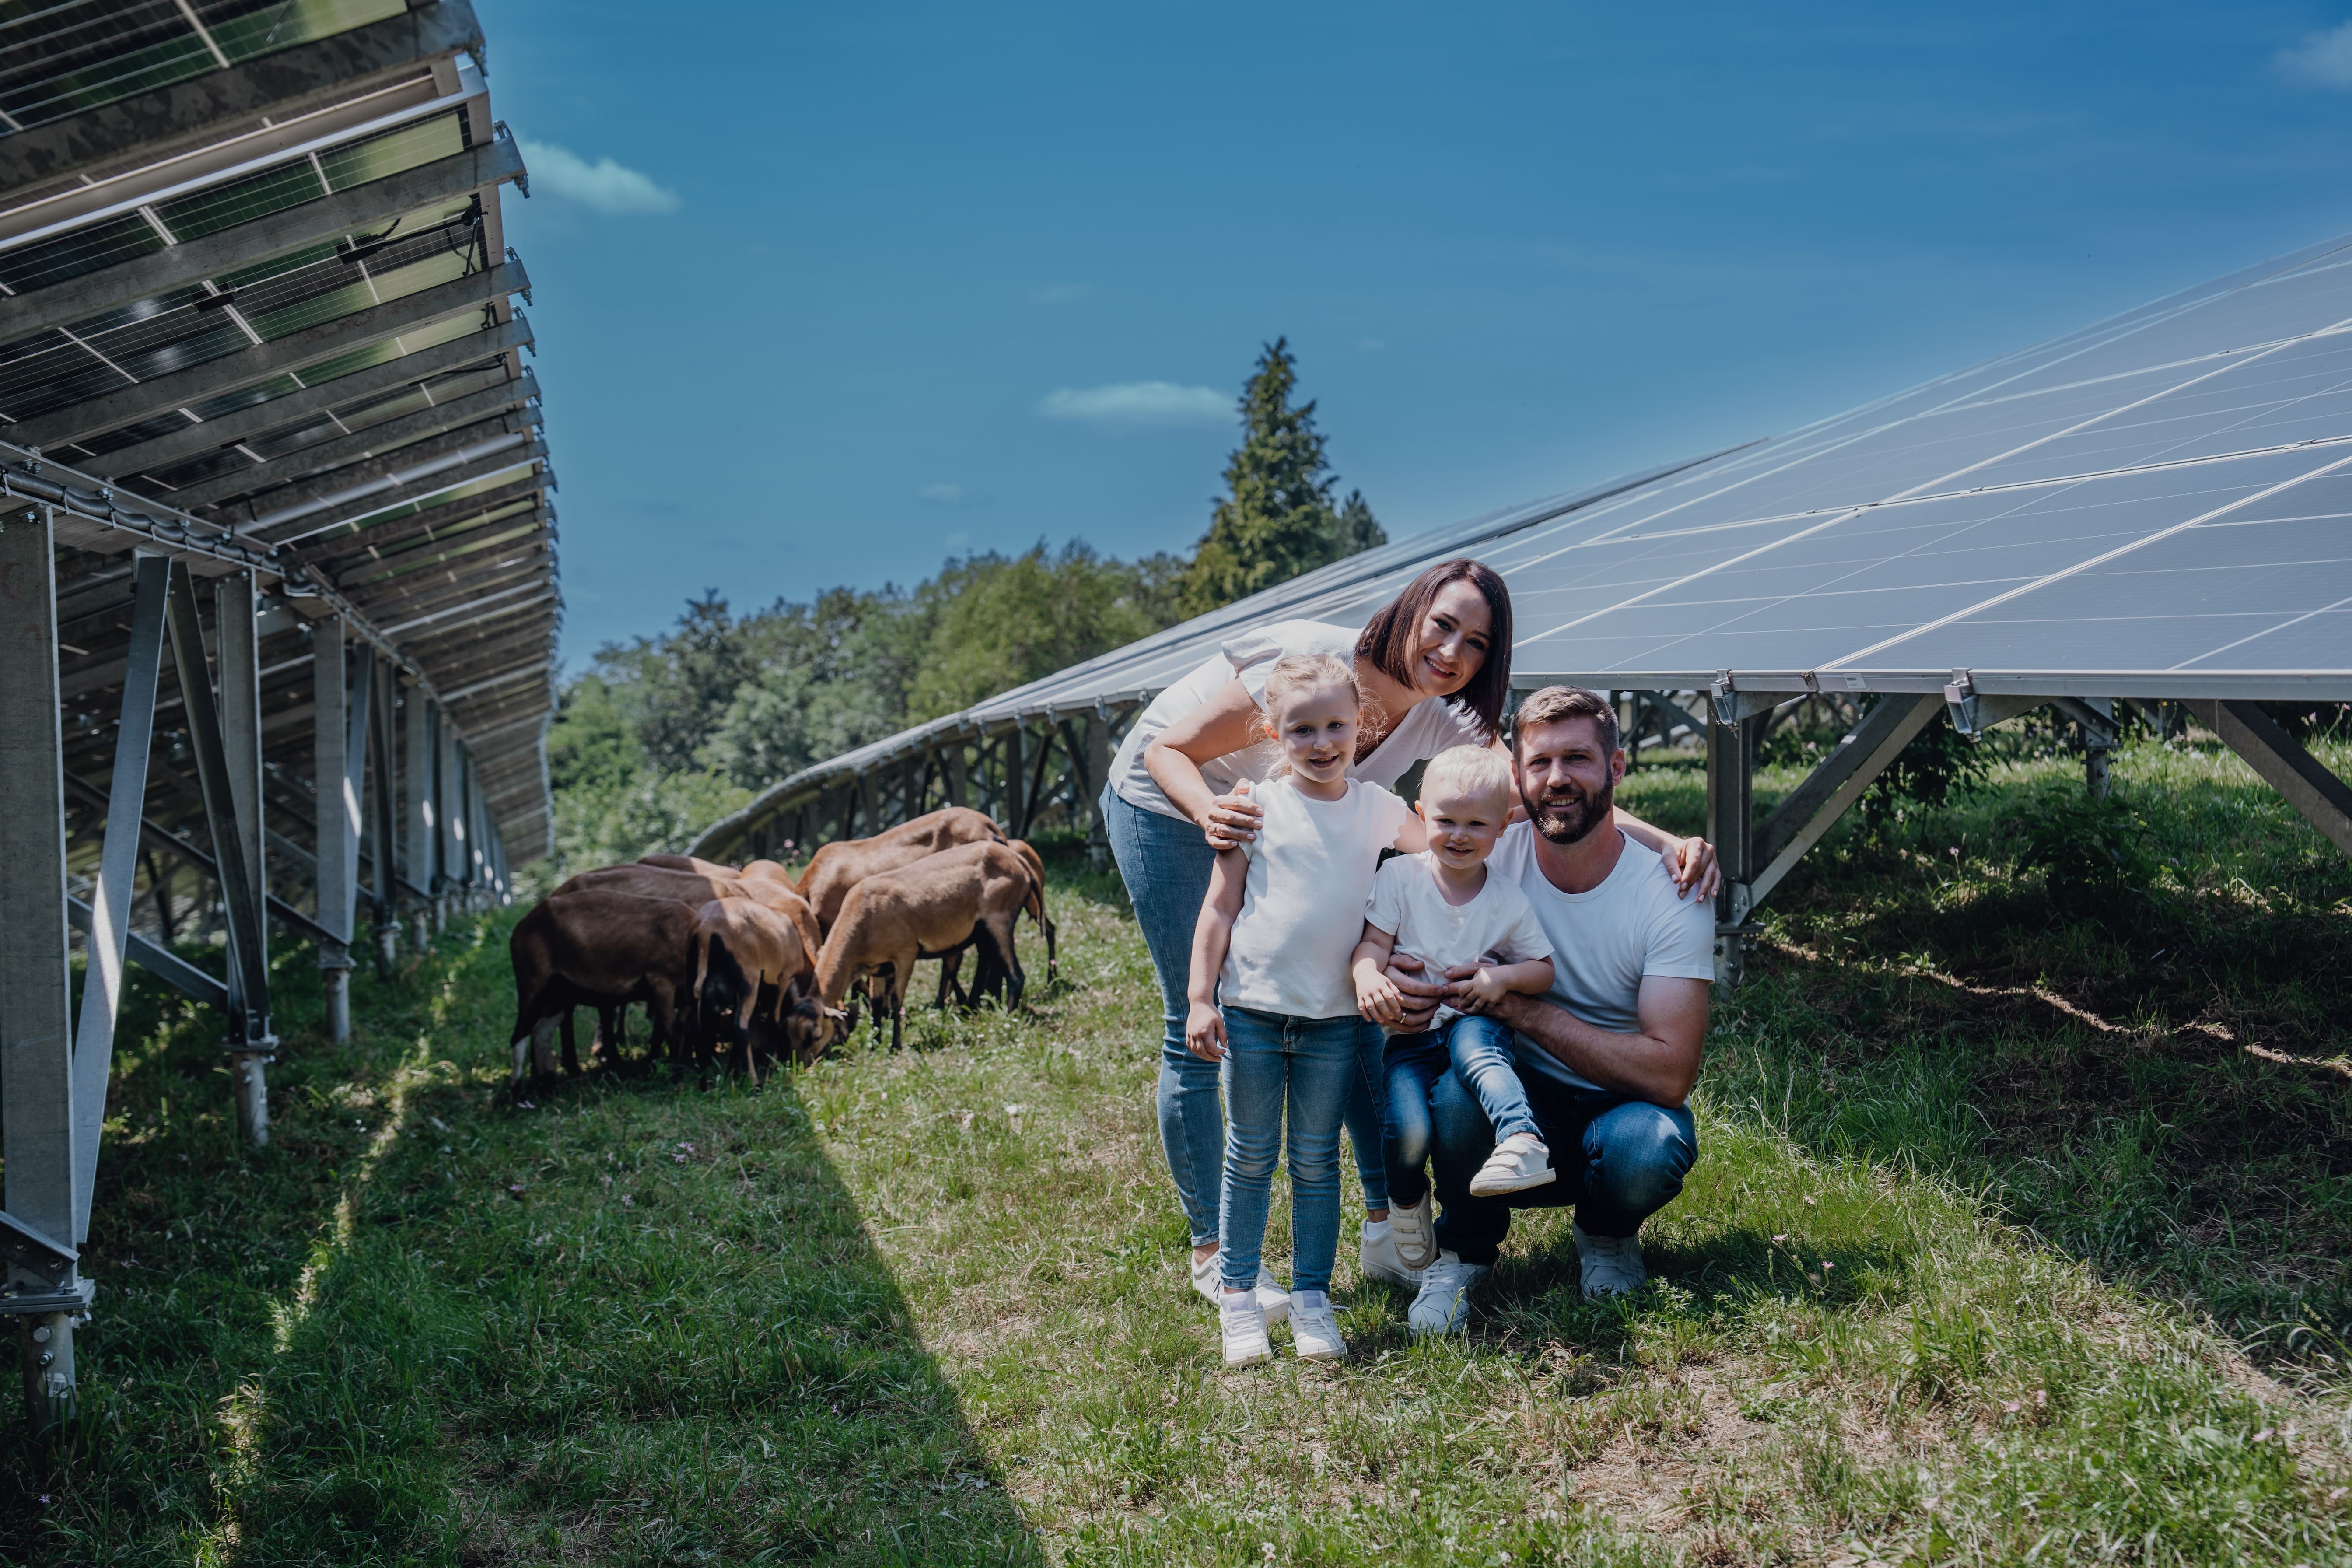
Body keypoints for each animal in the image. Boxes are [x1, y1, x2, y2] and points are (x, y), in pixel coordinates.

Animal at [799, 841, 1030, 1048]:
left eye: (816, 1034)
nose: (805, 1064)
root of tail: (1017, 860)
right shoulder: (878, 967)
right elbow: (877, 1003)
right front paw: (875, 1044)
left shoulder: (905, 955)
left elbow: (896, 1001)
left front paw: (895, 1046)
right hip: (982, 931)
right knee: (988, 964)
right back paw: (976, 1008)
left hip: (999, 920)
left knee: (1016, 976)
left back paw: (1008, 1021)